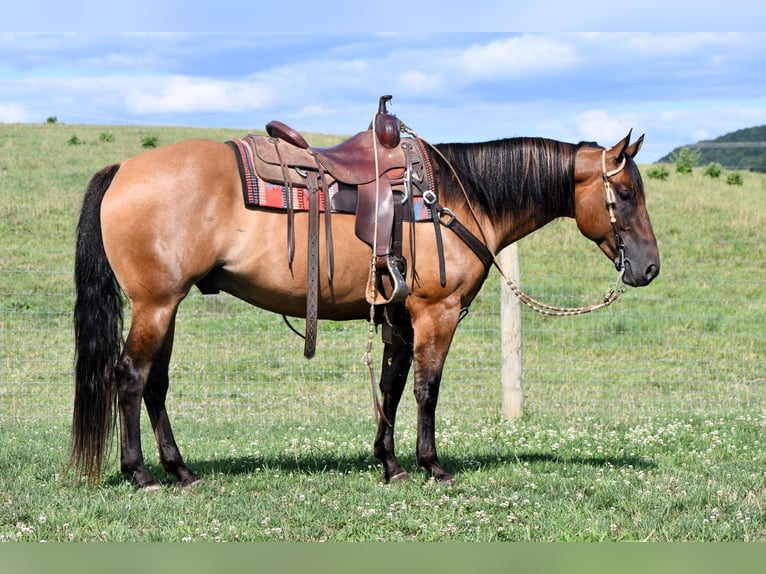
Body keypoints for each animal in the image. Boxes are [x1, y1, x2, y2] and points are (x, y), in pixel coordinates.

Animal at [67, 125, 660, 490]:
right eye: (627, 193)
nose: (649, 268)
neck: (457, 197)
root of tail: (124, 169)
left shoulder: (398, 316)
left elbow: (391, 387)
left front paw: (390, 462)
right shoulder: (436, 313)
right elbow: (426, 389)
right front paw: (431, 465)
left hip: (166, 306)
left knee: (155, 384)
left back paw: (180, 470)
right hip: (155, 304)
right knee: (130, 376)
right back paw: (141, 473)